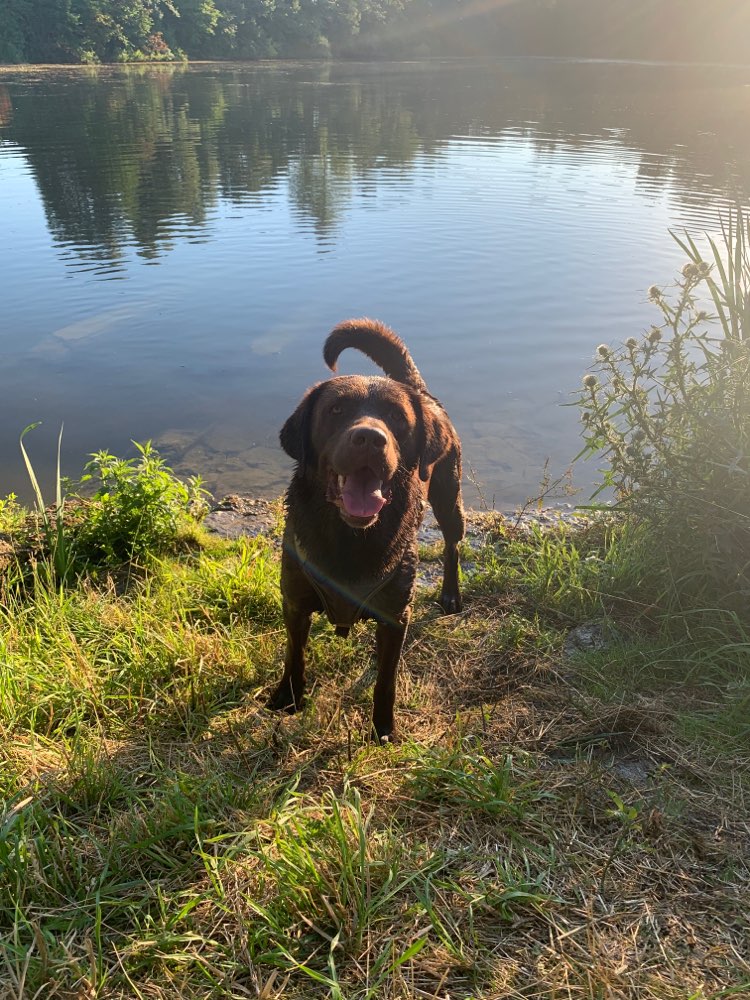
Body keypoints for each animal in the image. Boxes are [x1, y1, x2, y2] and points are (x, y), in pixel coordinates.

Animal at [268, 320, 462, 744]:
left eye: (396, 416)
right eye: (336, 410)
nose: (370, 438)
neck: (349, 538)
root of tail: (421, 391)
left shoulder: (394, 615)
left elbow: (386, 679)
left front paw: (383, 728)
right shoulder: (294, 600)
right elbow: (294, 653)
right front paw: (287, 696)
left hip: (448, 494)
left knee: (453, 544)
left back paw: (451, 594)